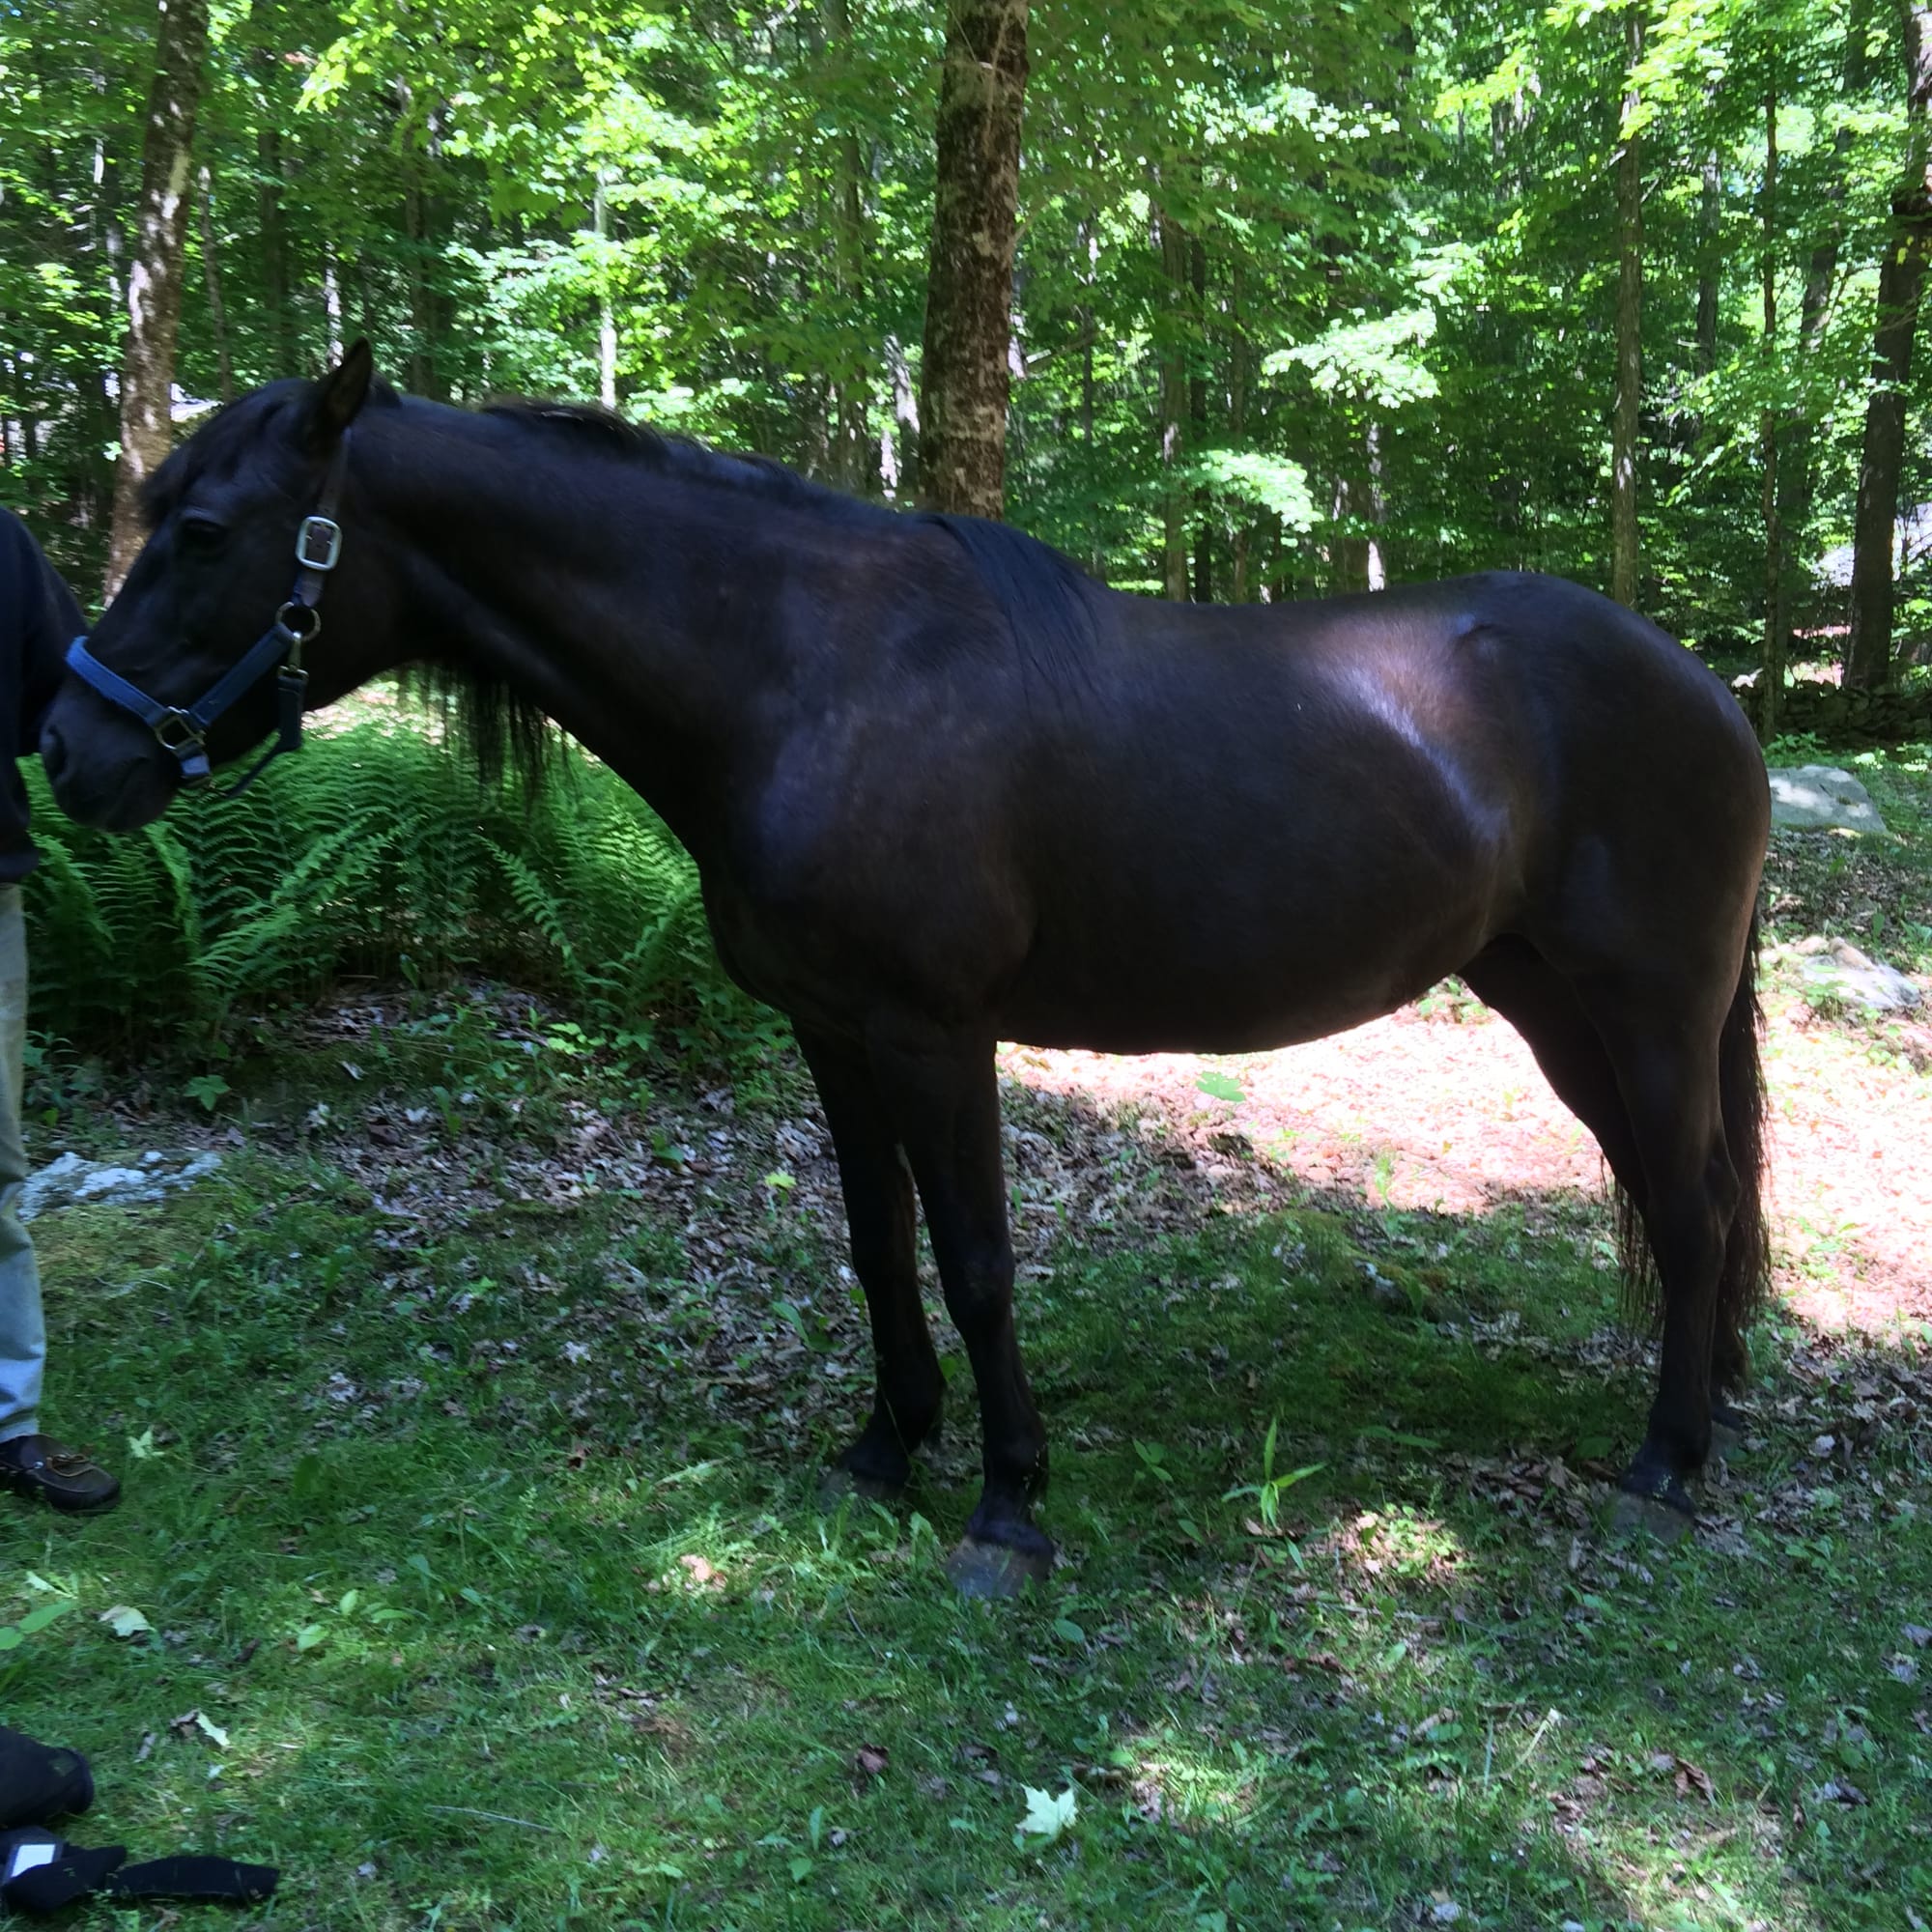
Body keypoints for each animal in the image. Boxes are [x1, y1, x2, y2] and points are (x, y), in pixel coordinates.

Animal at [43, 345, 1771, 1595]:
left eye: (202, 532)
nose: (68, 751)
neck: (809, 676)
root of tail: (1710, 690)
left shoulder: (938, 1037)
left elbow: (978, 1261)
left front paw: (1010, 1509)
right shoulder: (832, 1032)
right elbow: (879, 1248)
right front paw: (886, 1448)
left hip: (1645, 1012)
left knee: (1691, 1213)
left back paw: (1668, 1463)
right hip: (1559, 1010)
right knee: (1679, 1202)